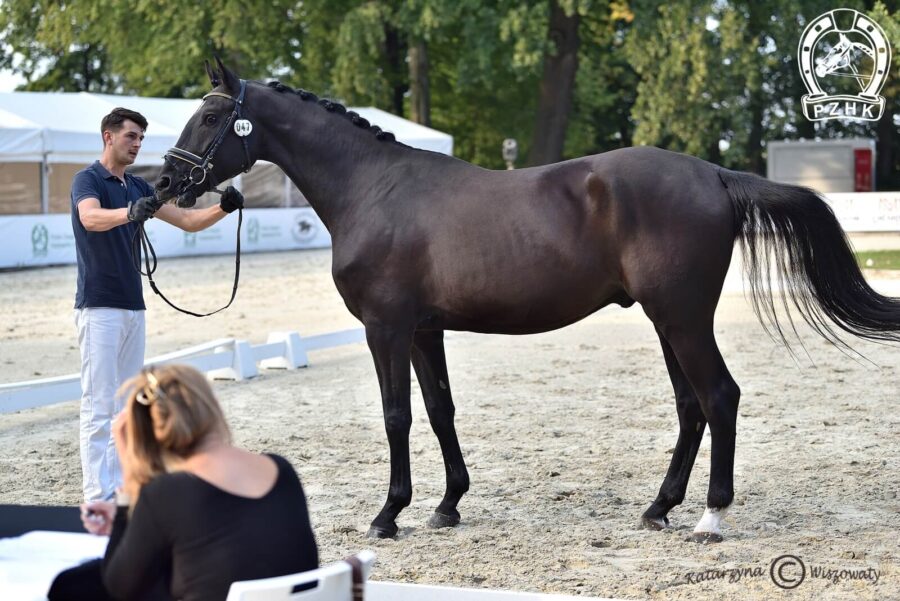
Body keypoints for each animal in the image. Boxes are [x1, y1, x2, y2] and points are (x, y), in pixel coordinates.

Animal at [156, 57, 900, 544]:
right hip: (667, 320)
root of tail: (713, 174)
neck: (375, 189)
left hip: (682, 318)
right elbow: (439, 411)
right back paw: (658, 508)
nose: (166, 181)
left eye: (214, 115)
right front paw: (448, 505)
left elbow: (396, 416)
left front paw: (389, 514)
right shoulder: (424, 331)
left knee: (719, 396)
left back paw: (711, 517)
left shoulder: (386, 329)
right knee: (692, 406)